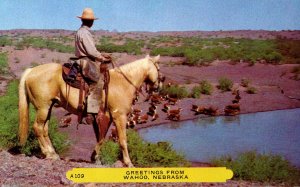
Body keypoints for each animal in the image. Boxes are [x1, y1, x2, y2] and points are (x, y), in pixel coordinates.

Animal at [18, 54, 162, 167]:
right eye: (158, 68)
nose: (158, 86)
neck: (123, 83)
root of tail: (31, 71)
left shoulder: (106, 117)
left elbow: (101, 138)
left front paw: (95, 157)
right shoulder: (119, 116)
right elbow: (122, 140)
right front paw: (128, 163)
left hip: (48, 107)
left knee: (44, 129)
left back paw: (53, 153)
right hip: (43, 107)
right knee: (37, 127)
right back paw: (48, 154)